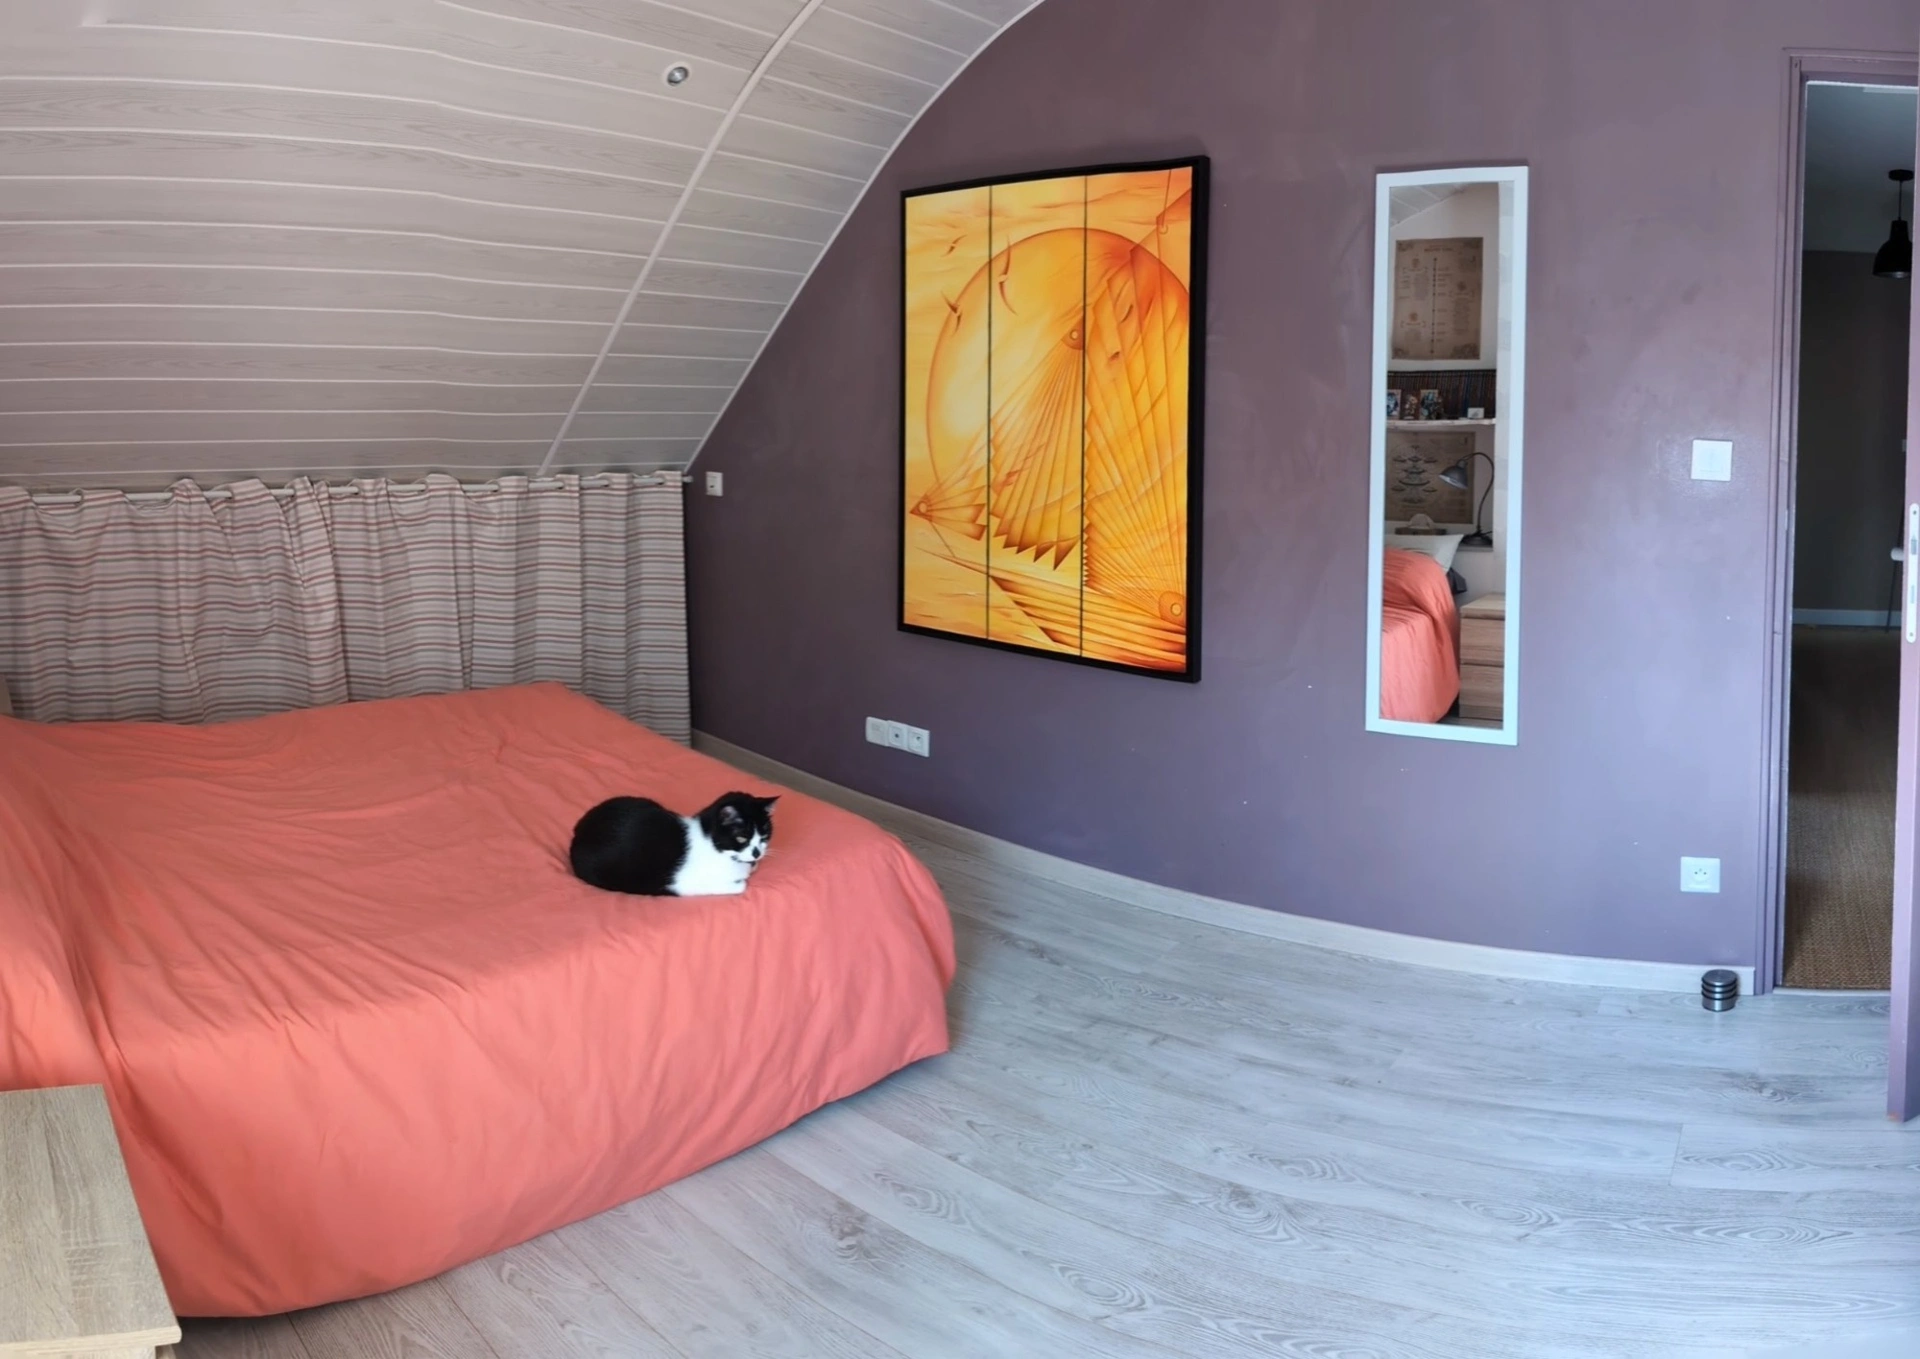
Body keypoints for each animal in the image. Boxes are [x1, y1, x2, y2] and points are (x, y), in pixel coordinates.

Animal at [568, 791, 778, 897]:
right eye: (742, 838)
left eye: (765, 835)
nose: (757, 853)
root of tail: (580, 827)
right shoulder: (683, 884)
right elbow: (740, 886)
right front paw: (743, 879)